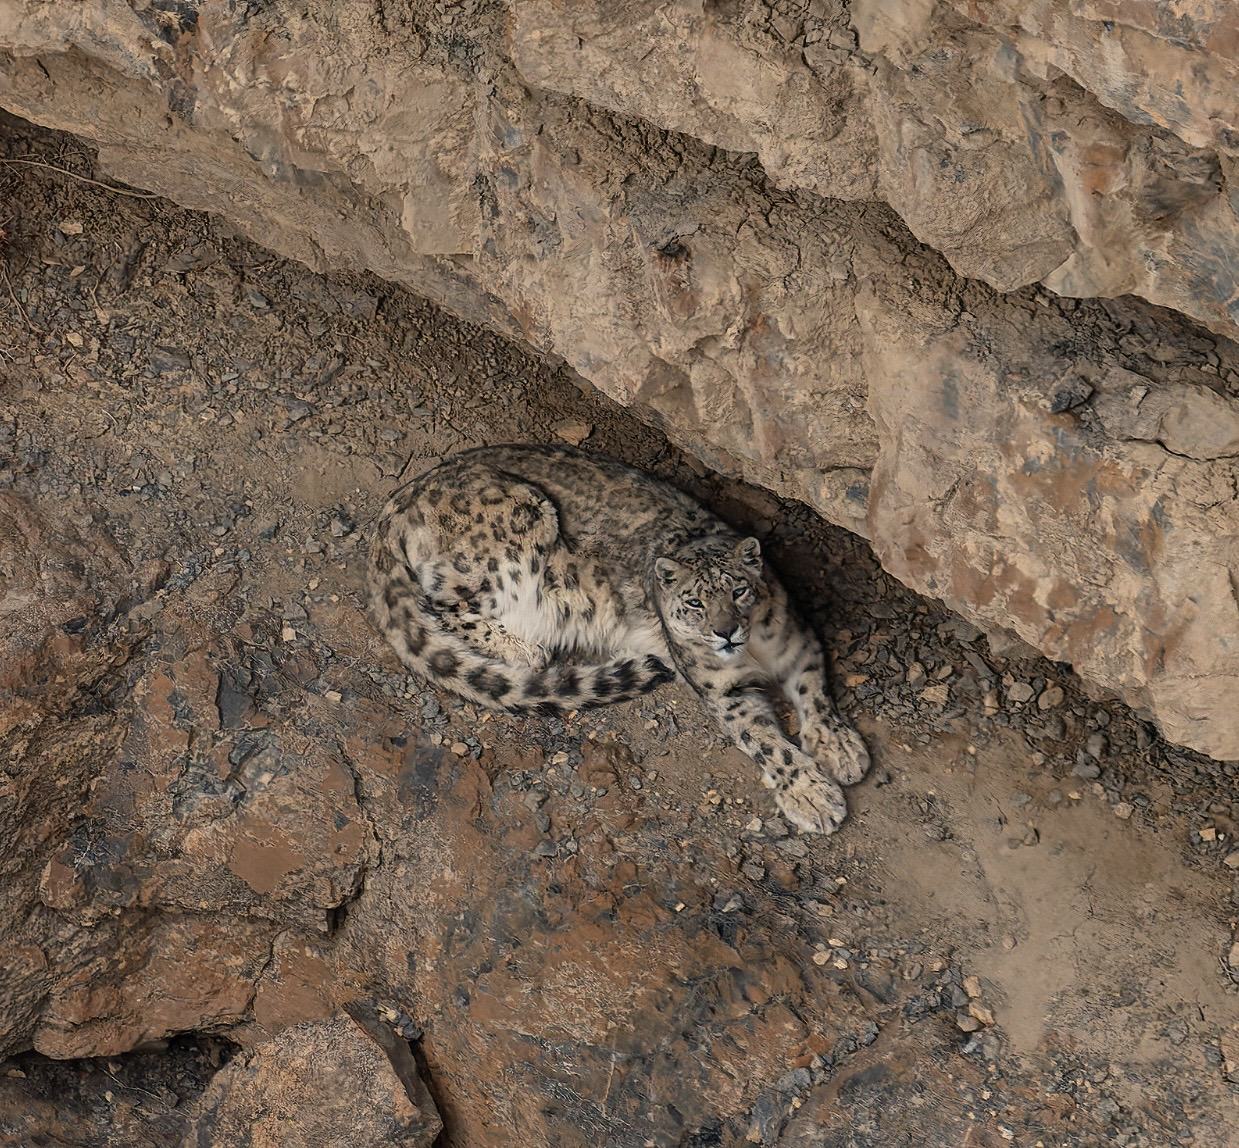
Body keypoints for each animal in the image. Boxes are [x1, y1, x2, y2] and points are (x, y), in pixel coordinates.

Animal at [369, 443, 870, 834]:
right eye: (694, 602)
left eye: (739, 590)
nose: (726, 633)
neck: (757, 653)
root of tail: (405, 492)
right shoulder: (723, 689)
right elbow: (764, 740)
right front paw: (814, 797)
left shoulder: (798, 642)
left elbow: (815, 691)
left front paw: (840, 749)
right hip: (515, 532)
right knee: (442, 602)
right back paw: (523, 649)